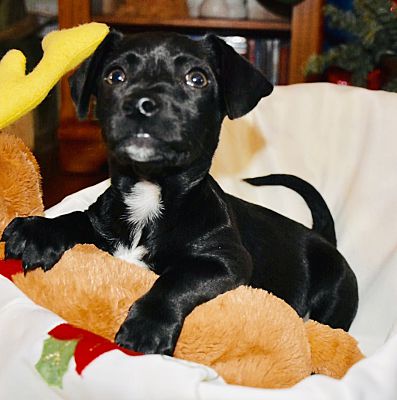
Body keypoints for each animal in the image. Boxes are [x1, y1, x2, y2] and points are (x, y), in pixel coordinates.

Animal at [0, 32, 358, 356]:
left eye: (196, 79)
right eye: (115, 75)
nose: (142, 105)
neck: (151, 191)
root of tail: (322, 237)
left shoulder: (225, 261)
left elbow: (178, 279)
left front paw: (147, 326)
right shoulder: (101, 225)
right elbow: (74, 218)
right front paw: (39, 231)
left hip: (334, 295)